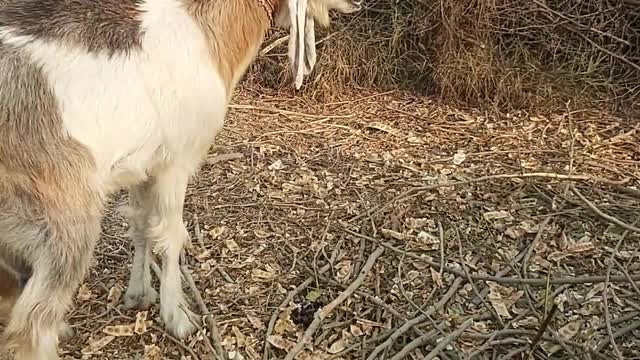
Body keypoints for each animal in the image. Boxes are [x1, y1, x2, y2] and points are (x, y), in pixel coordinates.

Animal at [0, 0, 360, 358]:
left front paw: (139, 293)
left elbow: (141, 224)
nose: (356, 5)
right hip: (63, 217)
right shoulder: (176, 162)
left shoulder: (143, 166)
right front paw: (177, 315)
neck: (204, 28)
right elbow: (171, 234)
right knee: (33, 324)